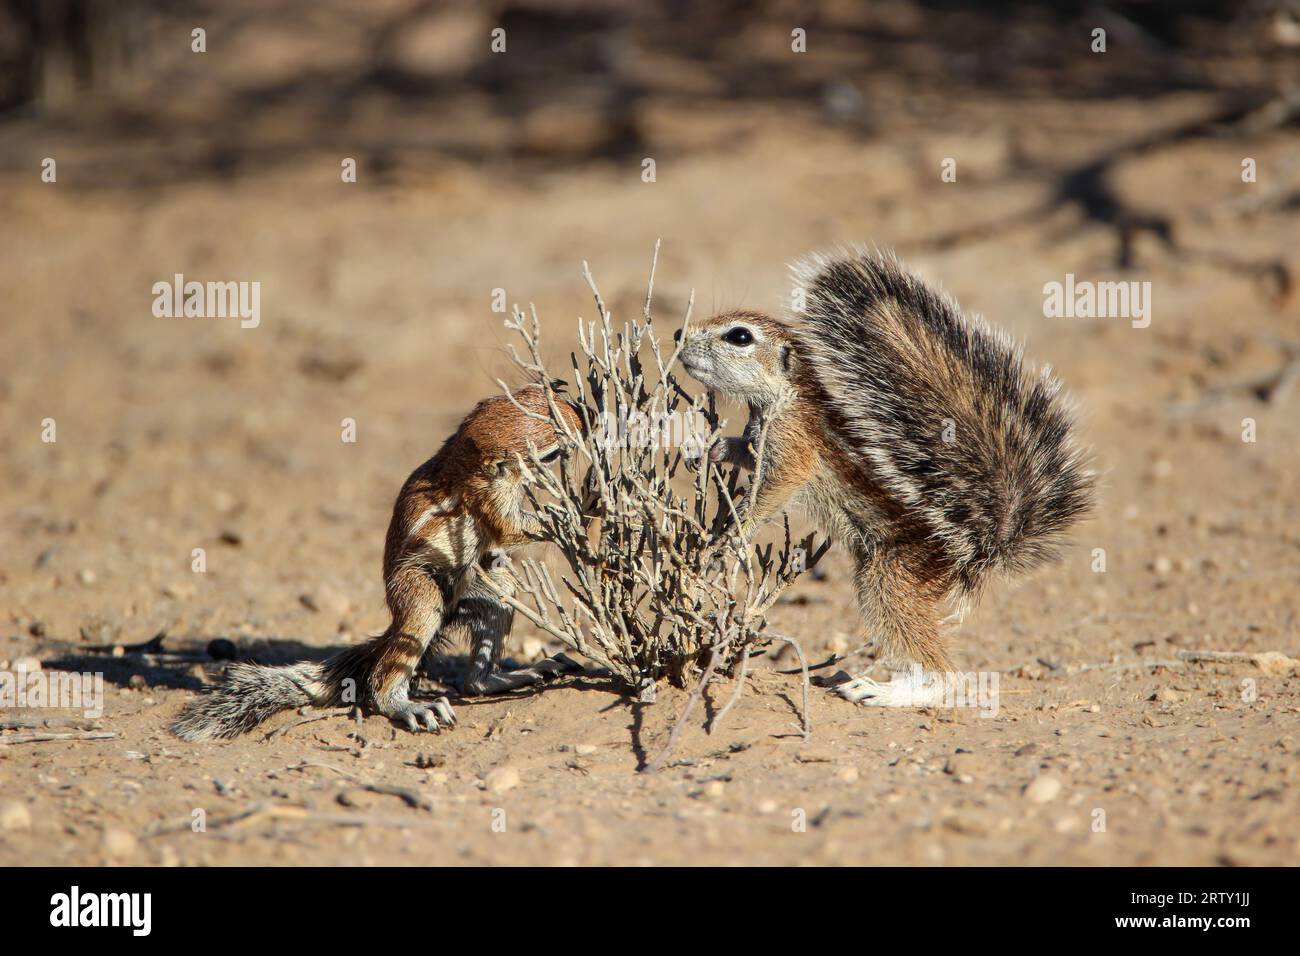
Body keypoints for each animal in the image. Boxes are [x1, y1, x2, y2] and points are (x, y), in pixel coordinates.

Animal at [170, 387, 587, 738]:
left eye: (538, 392)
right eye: (550, 440)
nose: (583, 416)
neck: (466, 455)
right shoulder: (488, 497)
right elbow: (511, 528)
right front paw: (577, 511)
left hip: (489, 594)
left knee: (475, 677)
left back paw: (521, 673)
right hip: (420, 594)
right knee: (391, 669)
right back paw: (409, 707)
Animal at [676, 251, 1092, 707]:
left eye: (739, 336)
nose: (680, 333)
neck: (784, 398)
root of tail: (977, 547)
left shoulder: (794, 449)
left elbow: (775, 491)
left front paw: (734, 534)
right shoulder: (757, 439)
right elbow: (742, 451)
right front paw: (706, 448)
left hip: (890, 579)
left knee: (940, 671)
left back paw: (888, 692)